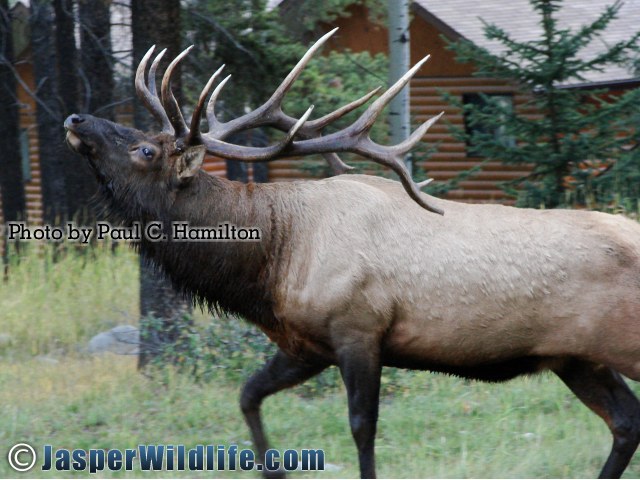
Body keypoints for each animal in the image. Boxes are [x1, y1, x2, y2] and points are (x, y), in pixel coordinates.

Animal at [63, 28, 640, 478]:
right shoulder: (305, 343)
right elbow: (248, 394)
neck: (271, 262)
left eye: (145, 148)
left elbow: (362, 428)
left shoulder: (359, 328)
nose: (76, 119)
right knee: (625, 422)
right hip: (578, 357)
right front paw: (271, 467)